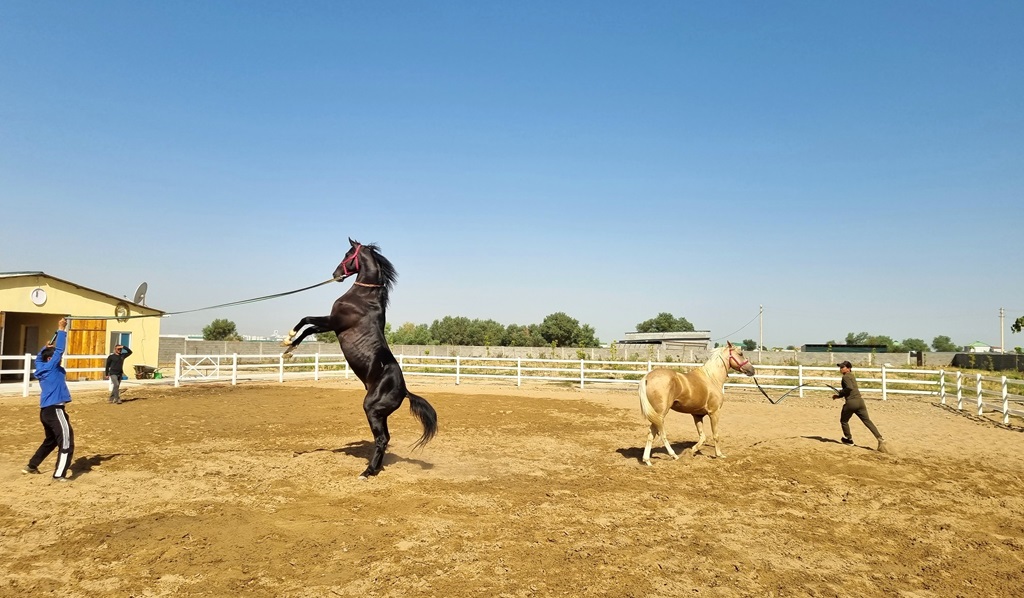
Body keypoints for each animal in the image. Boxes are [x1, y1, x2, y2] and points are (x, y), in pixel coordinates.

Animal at [281, 238, 437, 478]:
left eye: (347, 254)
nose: (335, 274)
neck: (364, 298)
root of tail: (404, 391)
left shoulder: (333, 322)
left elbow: (306, 321)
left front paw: (288, 341)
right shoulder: (332, 325)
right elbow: (309, 327)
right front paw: (289, 347)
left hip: (371, 409)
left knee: (381, 439)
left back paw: (367, 472)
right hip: (381, 415)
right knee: (384, 438)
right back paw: (375, 469)